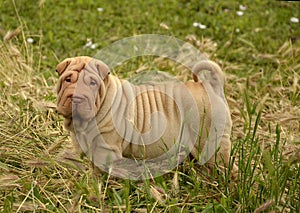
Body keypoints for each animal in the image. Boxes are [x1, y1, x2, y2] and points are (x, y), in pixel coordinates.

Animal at [55, 55, 238, 178]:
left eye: (92, 83)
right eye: (68, 79)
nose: (76, 98)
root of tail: (211, 85)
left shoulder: (105, 148)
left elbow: (100, 169)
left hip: (212, 139)